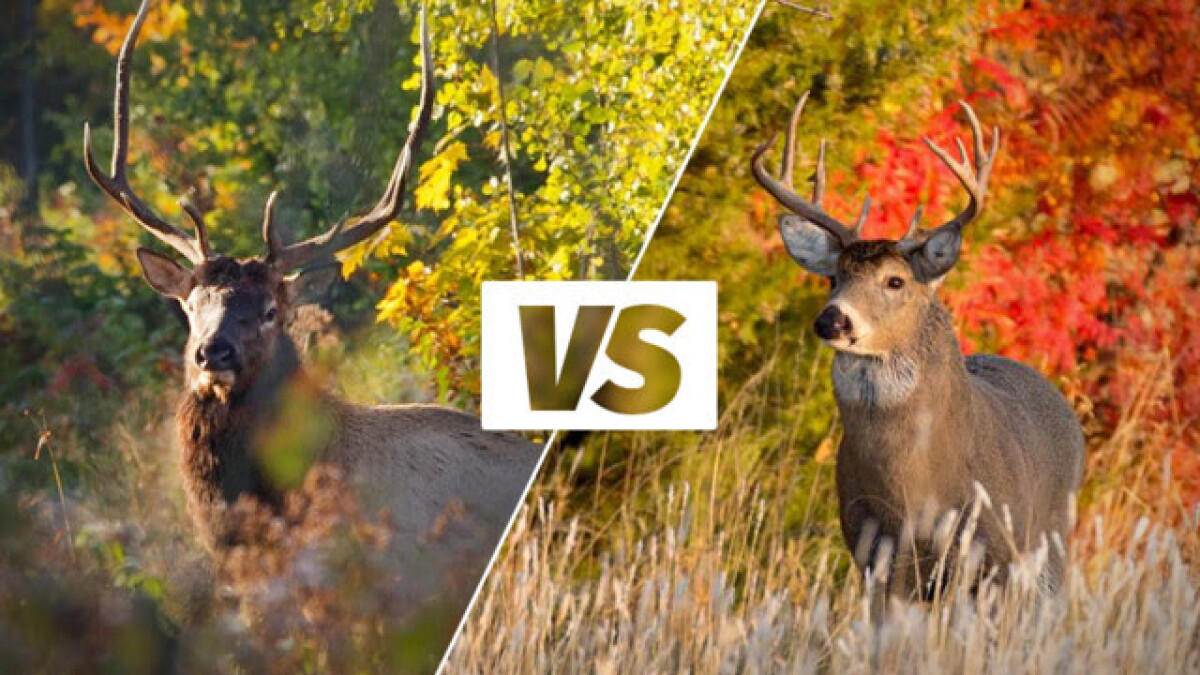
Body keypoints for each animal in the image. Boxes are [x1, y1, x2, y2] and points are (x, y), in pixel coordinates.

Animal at [752, 93, 1085, 598]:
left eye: (895, 281)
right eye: (834, 277)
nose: (831, 319)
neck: (915, 491)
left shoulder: (991, 554)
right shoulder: (875, 554)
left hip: (1050, 544)